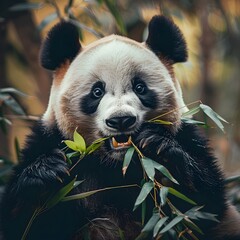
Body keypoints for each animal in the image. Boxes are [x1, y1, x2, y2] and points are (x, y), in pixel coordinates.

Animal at [0, 15, 240, 240]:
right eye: (97, 92)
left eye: (140, 87)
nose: (121, 120)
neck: (117, 165)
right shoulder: (51, 140)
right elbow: (24, 222)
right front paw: (45, 172)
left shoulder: (186, 134)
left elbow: (203, 206)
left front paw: (159, 146)